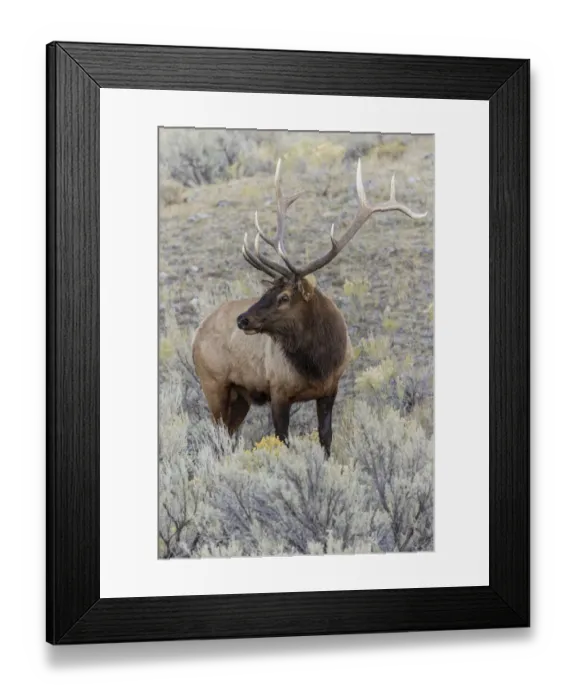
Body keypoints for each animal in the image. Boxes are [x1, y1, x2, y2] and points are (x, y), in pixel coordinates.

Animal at [191, 158, 426, 457]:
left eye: (283, 297)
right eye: (266, 291)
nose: (243, 319)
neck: (318, 363)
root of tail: (196, 333)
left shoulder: (330, 389)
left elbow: (325, 437)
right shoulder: (278, 391)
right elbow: (282, 441)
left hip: (240, 395)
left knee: (230, 435)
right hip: (213, 384)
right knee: (218, 436)